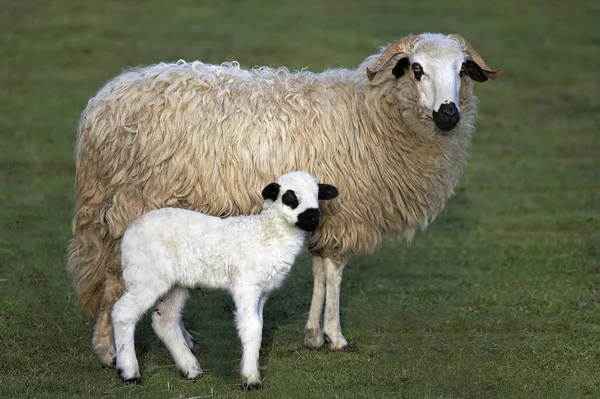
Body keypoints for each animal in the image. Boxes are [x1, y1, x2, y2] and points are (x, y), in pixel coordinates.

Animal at [68, 32, 504, 368]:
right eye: (416, 69)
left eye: (461, 69)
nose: (448, 114)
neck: (371, 115)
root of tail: (101, 107)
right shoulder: (345, 214)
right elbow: (335, 272)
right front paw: (335, 336)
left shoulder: (322, 215)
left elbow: (320, 270)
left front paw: (313, 334)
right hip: (128, 207)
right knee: (112, 280)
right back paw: (108, 351)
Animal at [111, 172, 338, 390]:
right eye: (289, 196)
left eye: (318, 194)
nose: (313, 218)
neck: (266, 233)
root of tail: (129, 231)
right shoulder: (246, 285)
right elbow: (251, 327)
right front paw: (251, 379)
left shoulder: (262, 292)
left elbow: (258, 326)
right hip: (146, 276)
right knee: (123, 313)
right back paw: (130, 372)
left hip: (175, 283)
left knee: (165, 320)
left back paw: (190, 369)